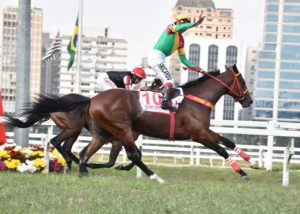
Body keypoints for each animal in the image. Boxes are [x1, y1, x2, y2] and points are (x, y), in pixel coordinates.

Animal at [51, 64, 255, 181]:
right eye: (244, 82)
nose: (249, 101)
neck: (197, 99)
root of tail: (92, 100)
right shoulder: (199, 134)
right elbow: (221, 150)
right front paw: (242, 173)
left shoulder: (203, 130)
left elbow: (228, 141)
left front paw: (251, 161)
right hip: (120, 129)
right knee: (133, 155)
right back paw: (155, 177)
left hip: (104, 132)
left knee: (83, 152)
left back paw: (83, 169)